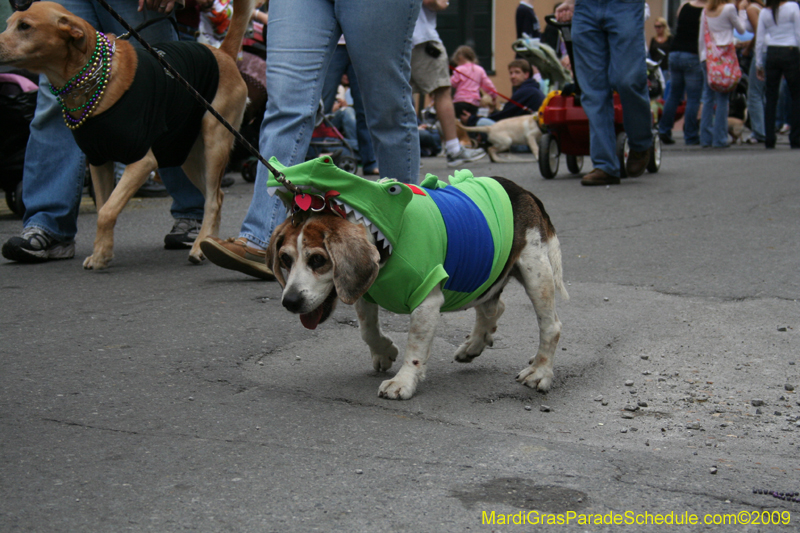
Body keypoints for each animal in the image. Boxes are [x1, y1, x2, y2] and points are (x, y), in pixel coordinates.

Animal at [0, 0, 253, 266]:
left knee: (213, 201)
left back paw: (199, 245)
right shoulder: (98, 161)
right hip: (188, 156)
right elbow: (103, 208)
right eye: (9, 23)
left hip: (215, 143)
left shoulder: (142, 162)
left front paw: (102, 254)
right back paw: (208, 242)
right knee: (216, 196)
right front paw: (101, 252)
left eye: (25, 26)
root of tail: (222, 53)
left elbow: (107, 210)